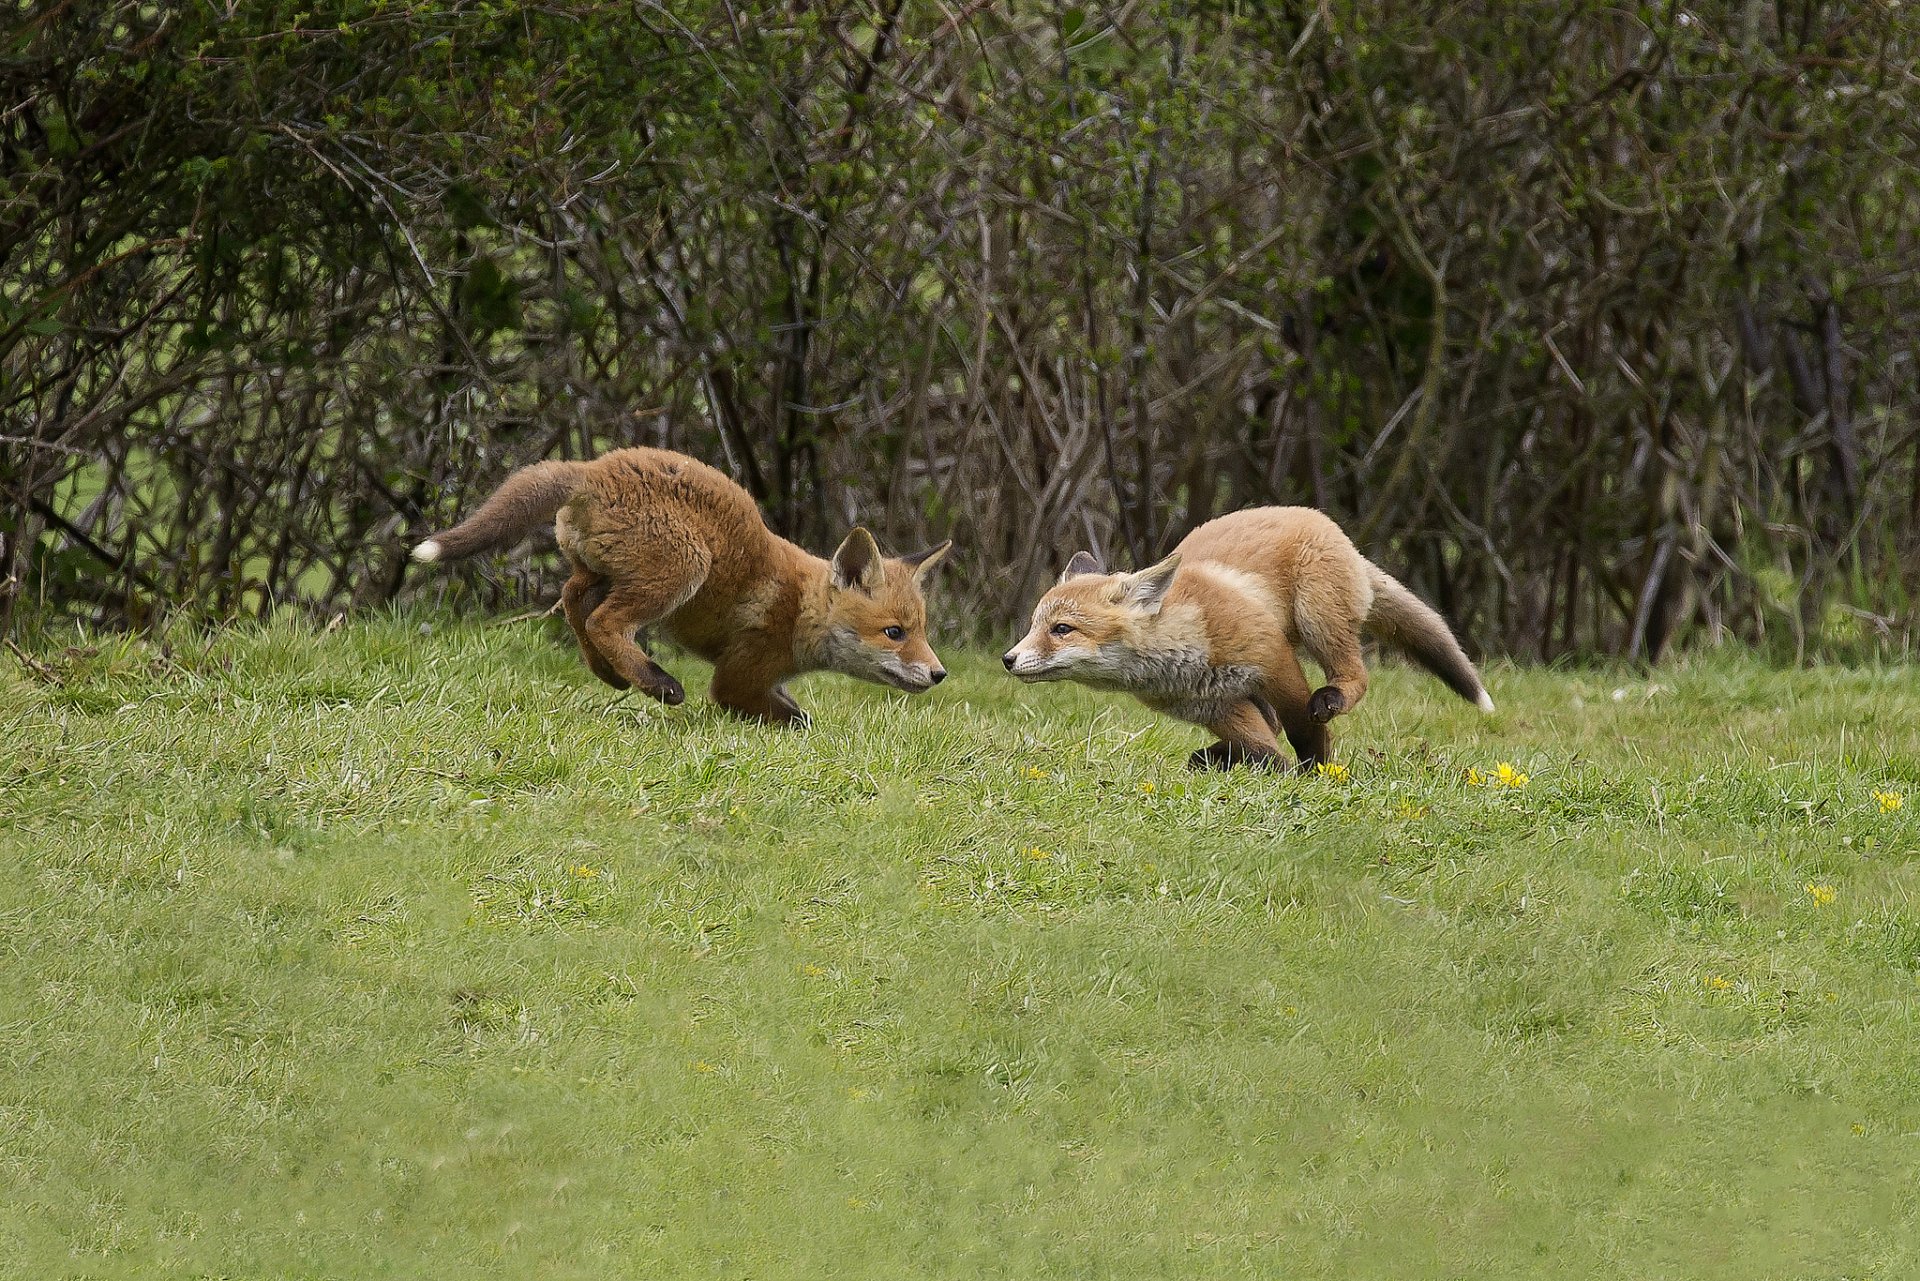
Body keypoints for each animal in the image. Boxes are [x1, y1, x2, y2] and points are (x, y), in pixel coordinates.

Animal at [408, 445, 948, 725]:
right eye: (895, 633)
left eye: (922, 631)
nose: (940, 674)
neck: (801, 611)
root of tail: (593, 467)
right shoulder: (737, 679)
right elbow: (794, 719)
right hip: (685, 568)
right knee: (604, 621)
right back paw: (654, 681)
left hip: (603, 572)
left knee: (572, 599)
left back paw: (609, 674)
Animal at [1006, 507, 1497, 772]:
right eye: (1034, 625)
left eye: (1061, 629)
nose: (1008, 659)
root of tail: (1331, 528)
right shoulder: (1217, 706)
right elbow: (1263, 749)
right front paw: (1277, 770)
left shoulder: (1273, 663)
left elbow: (1303, 732)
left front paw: (1315, 772)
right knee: (1265, 730)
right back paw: (1217, 758)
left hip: (1318, 620)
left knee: (1354, 676)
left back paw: (1332, 698)